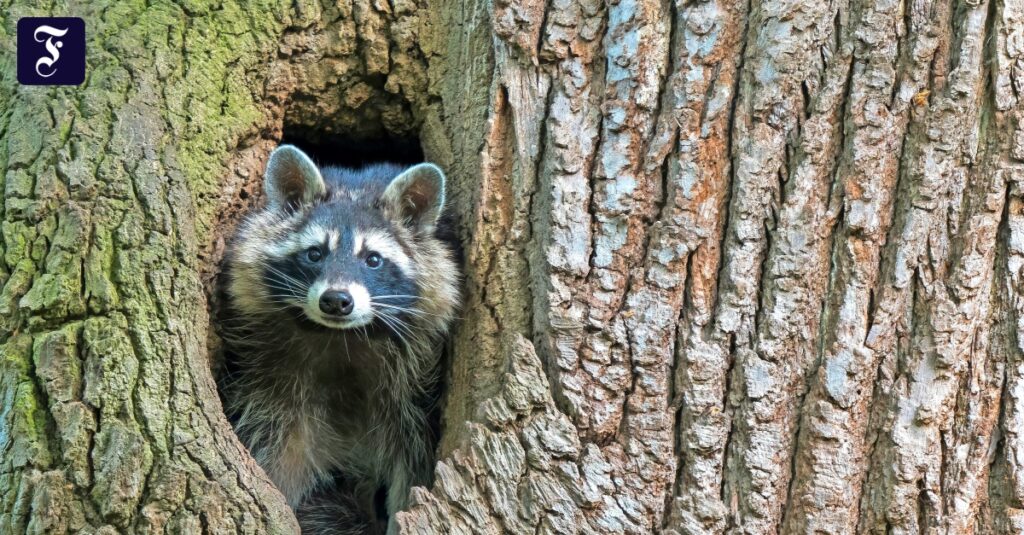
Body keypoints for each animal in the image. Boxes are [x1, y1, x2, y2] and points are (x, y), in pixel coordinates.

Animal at [219, 143, 460, 528]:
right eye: (315, 254)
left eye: (373, 259)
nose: (336, 301)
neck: (343, 337)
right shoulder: (271, 375)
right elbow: (280, 445)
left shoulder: (414, 387)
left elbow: (412, 458)